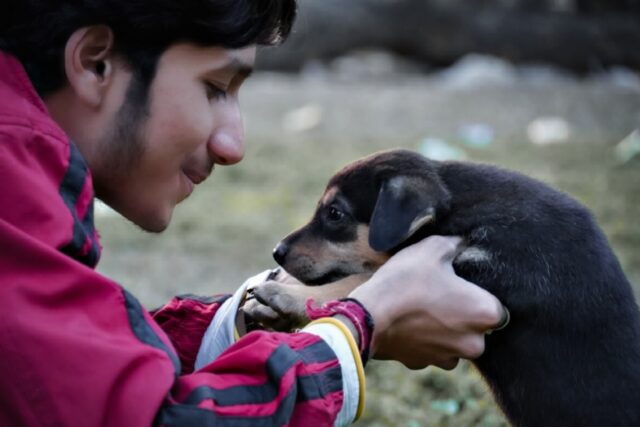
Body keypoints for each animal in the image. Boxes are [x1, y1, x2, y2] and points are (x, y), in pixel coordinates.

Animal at [252, 150, 640, 427]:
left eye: (334, 213)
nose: (276, 252)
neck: (459, 207)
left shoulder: (490, 266)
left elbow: (369, 275)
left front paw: (285, 296)